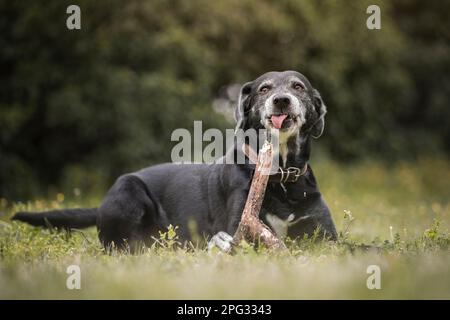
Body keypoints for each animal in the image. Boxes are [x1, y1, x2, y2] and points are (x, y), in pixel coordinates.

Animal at [12, 70, 336, 252]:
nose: (281, 100)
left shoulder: (327, 237)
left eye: (298, 87)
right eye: (264, 88)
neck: (280, 177)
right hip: (127, 189)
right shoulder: (240, 226)